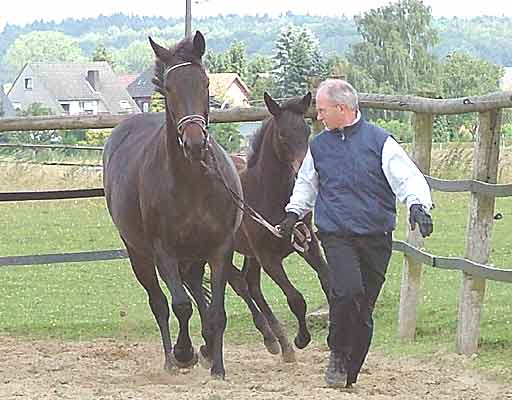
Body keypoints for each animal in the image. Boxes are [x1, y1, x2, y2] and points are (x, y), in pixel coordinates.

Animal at [103, 31, 243, 378]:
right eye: (169, 88)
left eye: (205, 82)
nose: (194, 143)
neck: (192, 184)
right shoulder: (163, 250)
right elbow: (180, 304)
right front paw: (184, 353)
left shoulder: (220, 248)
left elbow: (217, 310)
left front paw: (217, 366)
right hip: (139, 254)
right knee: (159, 302)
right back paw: (171, 357)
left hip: (192, 256)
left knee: (193, 290)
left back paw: (206, 346)